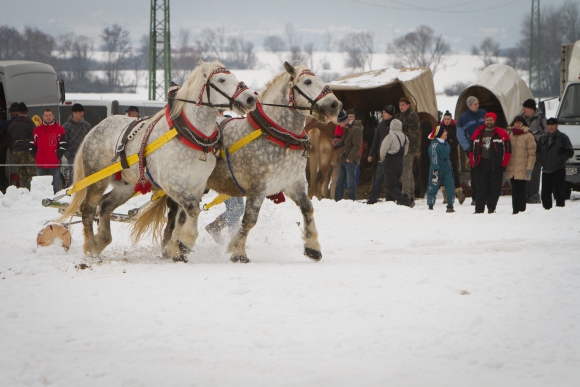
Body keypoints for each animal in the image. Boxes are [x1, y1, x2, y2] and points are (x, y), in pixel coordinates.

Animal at [60, 59, 256, 260]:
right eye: (222, 79)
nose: (250, 98)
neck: (188, 135)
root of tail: (95, 128)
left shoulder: (197, 185)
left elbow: (183, 215)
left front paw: (176, 246)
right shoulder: (172, 183)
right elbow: (192, 209)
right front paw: (186, 240)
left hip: (127, 185)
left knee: (106, 205)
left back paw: (102, 240)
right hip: (97, 178)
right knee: (88, 209)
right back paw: (91, 248)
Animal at [137, 62, 340, 264]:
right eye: (307, 81)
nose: (335, 104)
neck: (278, 136)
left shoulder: (293, 183)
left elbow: (308, 208)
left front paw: (313, 247)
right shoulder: (258, 187)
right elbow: (249, 219)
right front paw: (239, 252)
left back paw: (173, 248)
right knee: (174, 217)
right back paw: (174, 248)